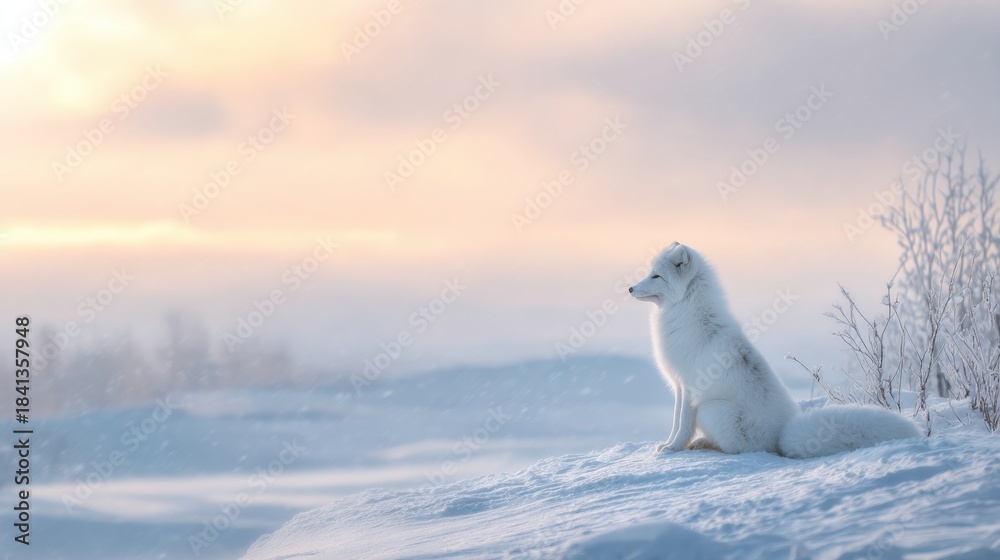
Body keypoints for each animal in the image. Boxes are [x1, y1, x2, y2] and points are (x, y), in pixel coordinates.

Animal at [629, 242, 921, 458]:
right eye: (649, 272)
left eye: (656, 276)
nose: (630, 288)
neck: (689, 315)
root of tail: (780, 437)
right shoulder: (678, 386)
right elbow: (674, 422)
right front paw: (667, 444)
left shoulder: (689, 389)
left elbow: (681, 425)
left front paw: (672, 448)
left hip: (712, 410)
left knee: (739, 449)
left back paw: (705, 445)